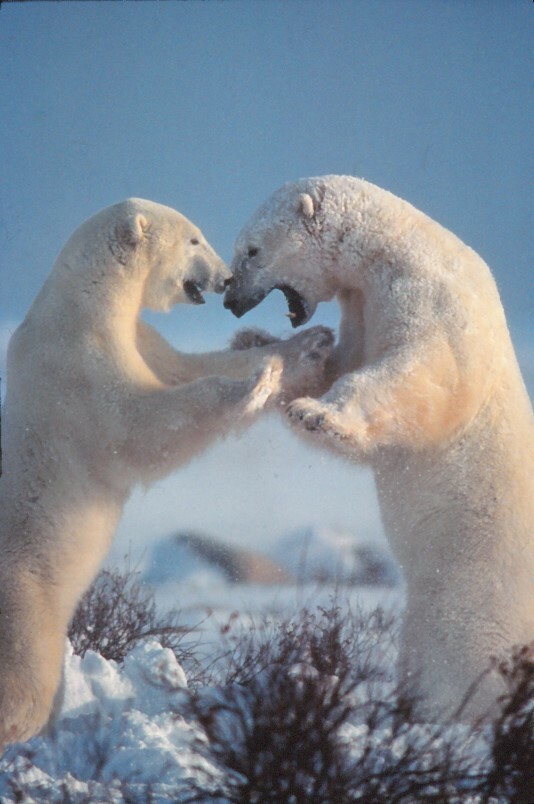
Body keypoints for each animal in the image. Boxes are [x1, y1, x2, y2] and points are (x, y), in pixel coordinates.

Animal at [0, 197, 334, 750]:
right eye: (194, 239)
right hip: (22, 597)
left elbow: (186, 368)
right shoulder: (78, 370)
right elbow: (141, 426)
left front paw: (307, 344)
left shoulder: (141, 339)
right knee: (24, 677)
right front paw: (253, 387)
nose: (225, 277)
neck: (83, 303)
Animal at [224, 175, 534, 720]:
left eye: (252, 249)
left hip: (475, 599)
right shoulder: (361, 304)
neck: (392, 245)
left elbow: (416, 374)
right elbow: (343, 363)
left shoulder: (431, 298)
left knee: (463, 662)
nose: (230, 300)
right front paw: (261, 344)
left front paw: (317, 414)